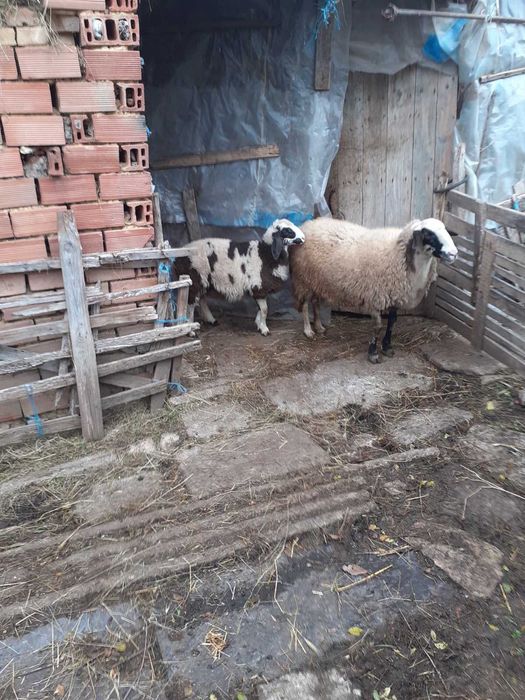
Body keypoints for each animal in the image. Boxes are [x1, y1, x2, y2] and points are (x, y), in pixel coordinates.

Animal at [173, 219, 305, 335]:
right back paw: (191, 331)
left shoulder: (259, 290)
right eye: (287, 230)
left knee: (201, 300)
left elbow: (261, 309)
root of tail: (177, 257)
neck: (265, 255)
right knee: (189, 306)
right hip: (194, 280)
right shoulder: (257, 286)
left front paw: (258, 324)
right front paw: (264, 329)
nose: (303, 238)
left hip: (203, 281)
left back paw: (211, 320)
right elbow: (264, 310)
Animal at [290, 217, 458, 363]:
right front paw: (373, 353)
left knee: (315, 302)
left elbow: (391, 323)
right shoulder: (376, 297)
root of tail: (309, 224)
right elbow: (377, 327)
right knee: (305, 305)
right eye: (428, 234)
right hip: (302, 279)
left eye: (445, 230)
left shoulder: (395, 296)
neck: (400, 255)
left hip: (316, 280)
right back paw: (308, 331)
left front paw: (387, 347)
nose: (454, 254)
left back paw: (319, 326)